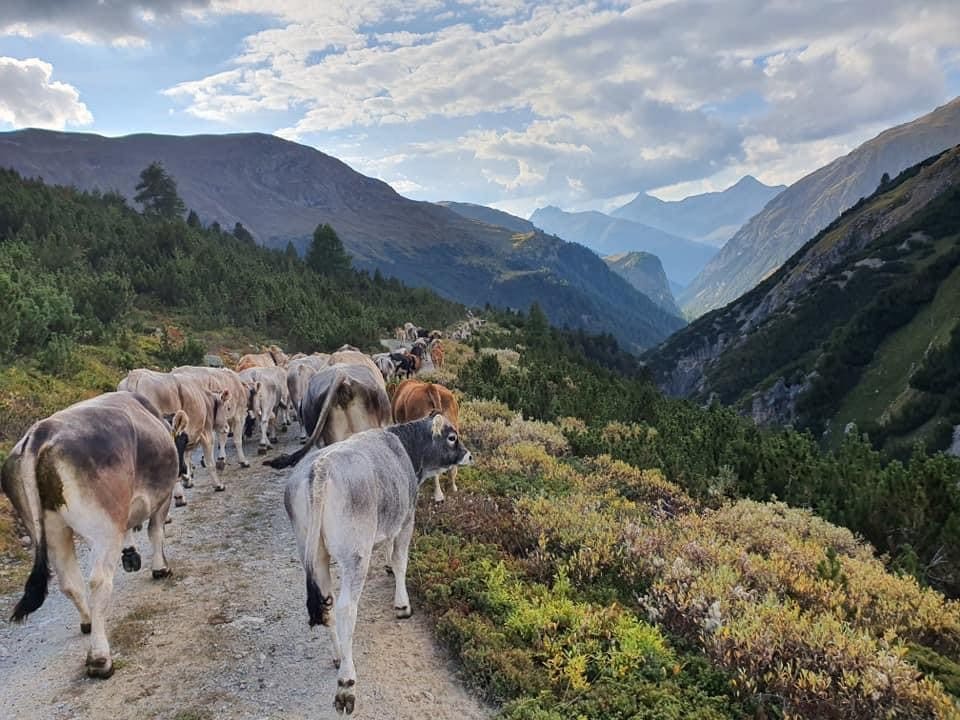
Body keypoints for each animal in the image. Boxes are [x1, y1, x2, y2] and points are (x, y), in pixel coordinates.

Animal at [0, 390, 186, 676]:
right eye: (182, 442)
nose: (185, 470)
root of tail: (40, 432)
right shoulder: (161, 499)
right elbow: (155, 532)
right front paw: (160, 568)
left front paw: (130, 554)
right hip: (104, 528)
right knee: (98, 582)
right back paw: (100, 658)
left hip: (51, 530)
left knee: (69, 582)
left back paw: (87, 621)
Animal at [280, 410, 474, 716]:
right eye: (452, 437)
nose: (469, 455)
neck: (405, 447)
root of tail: (320, 467)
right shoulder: (407, 519)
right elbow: (400, 559)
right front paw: (402, 605)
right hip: (355, 555)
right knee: (346, 608)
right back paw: (346, 683)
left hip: (312, 553)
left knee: (327, 604)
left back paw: (339, 656)